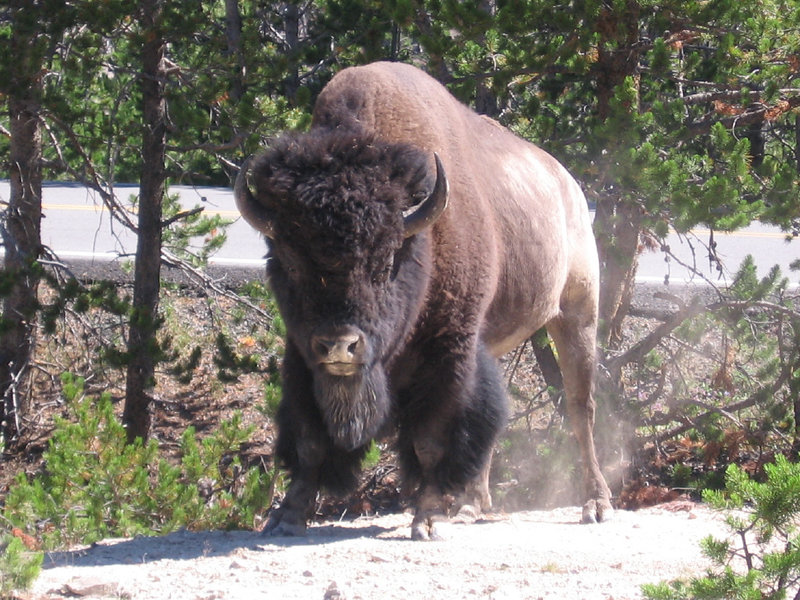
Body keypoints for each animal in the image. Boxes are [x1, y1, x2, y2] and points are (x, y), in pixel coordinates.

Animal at [236, 61, 612, 540]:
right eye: (288, 259)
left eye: (385, 259)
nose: (340, 345)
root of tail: (571, 188)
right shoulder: (302, 354)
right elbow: (310, 438)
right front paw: (287, 516)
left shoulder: (447, 349)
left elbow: (432, 438)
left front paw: (428, 519)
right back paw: (473, 505)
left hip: (577, 314)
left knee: (582, 408)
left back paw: (596, 504)